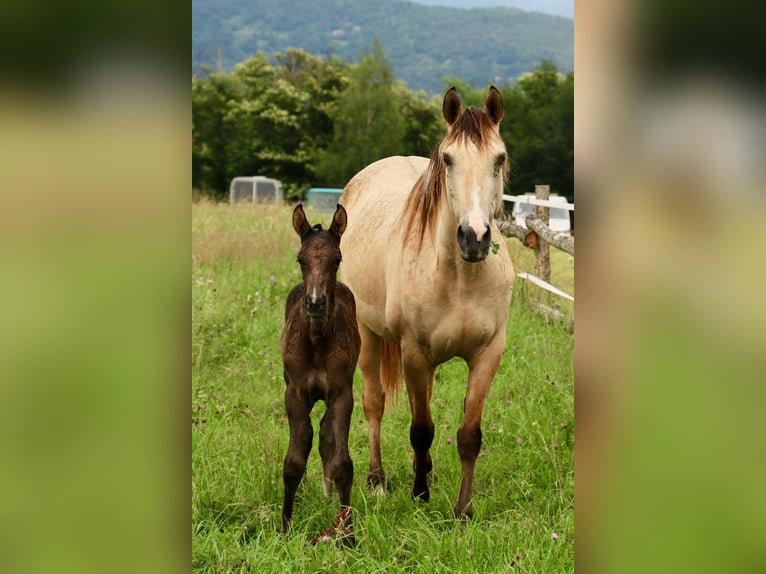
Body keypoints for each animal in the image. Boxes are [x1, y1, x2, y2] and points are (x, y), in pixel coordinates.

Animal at [340, 86, 516, 520]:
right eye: (448, 158)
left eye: (499, 157)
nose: (475, 237)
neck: (461, 278)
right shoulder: (414, 352)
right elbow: (420, 430)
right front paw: (419, 495)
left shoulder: (489, 353)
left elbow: (469, 434)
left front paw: (463, 510)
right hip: (368, 336)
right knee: (374, 404)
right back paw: (378, 479)